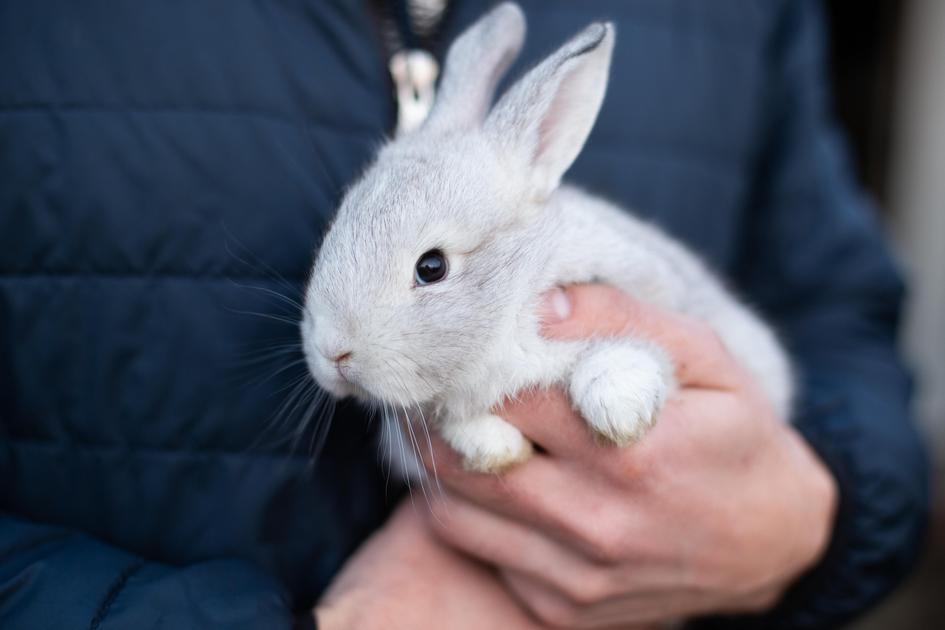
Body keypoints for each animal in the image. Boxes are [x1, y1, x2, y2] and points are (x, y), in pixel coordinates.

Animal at [300, 2, 793, 475]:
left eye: (431, 267)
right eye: (335, 227)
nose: (333, 352)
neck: (514, 297)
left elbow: (636, 356)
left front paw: (620, 407)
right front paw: (493, 449)